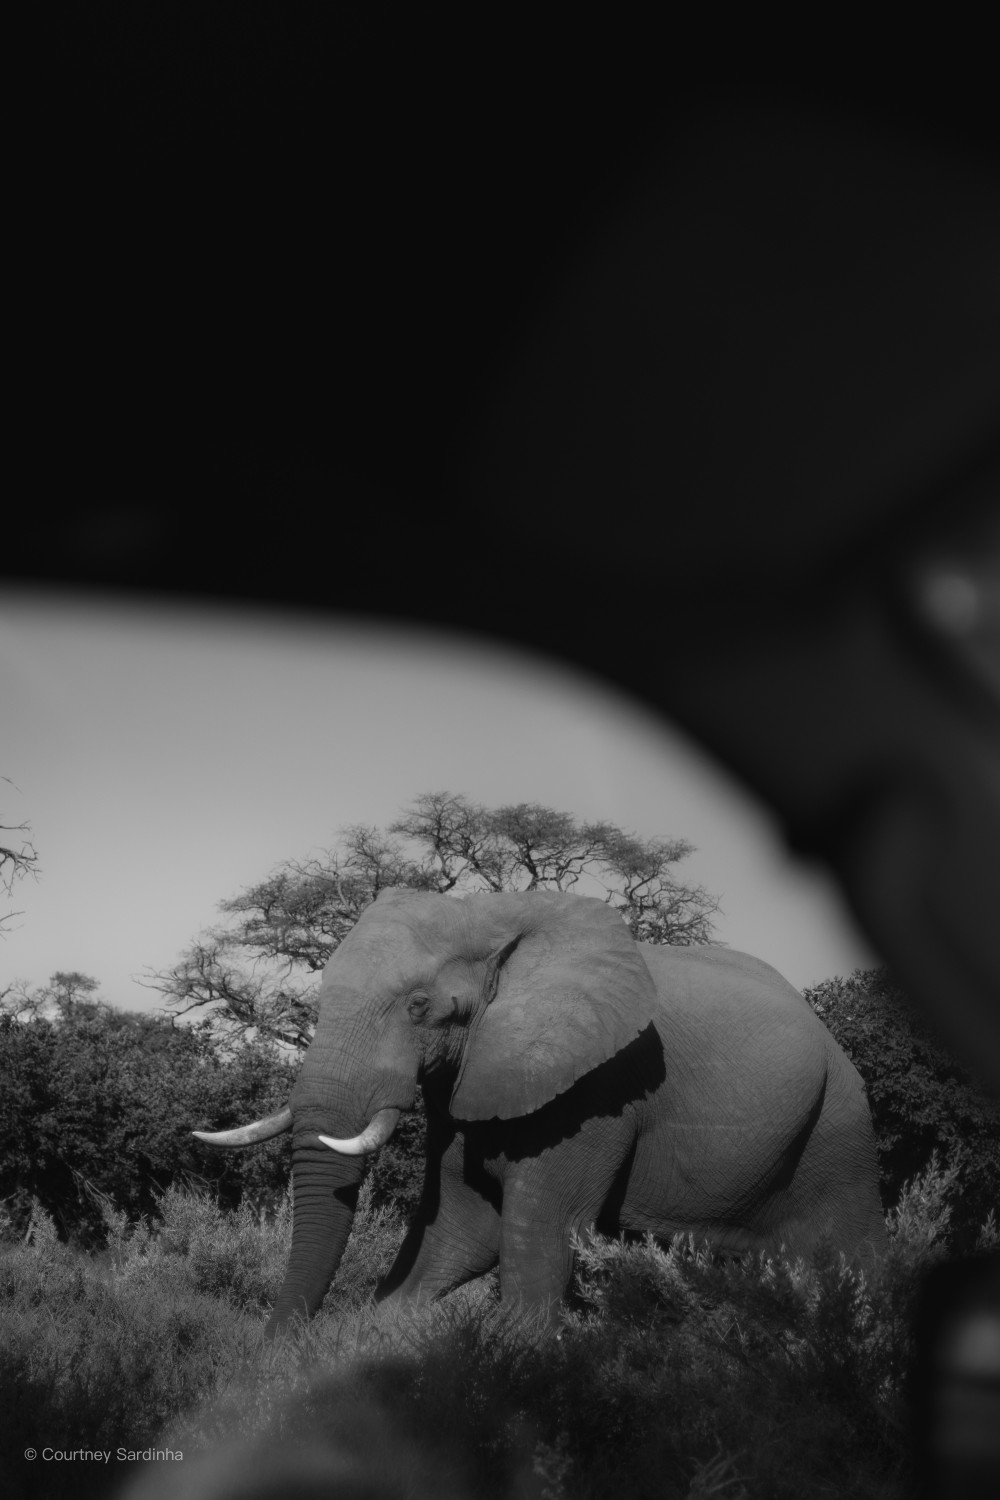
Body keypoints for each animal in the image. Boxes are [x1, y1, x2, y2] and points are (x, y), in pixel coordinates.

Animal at [194, 888, 886, 1335]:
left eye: (419, 1006)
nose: (278, 1350)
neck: (497, 918)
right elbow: (459, 1230)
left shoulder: (596, 1091)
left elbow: (540, 1238)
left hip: (840, 1127)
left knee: (850, 1261)